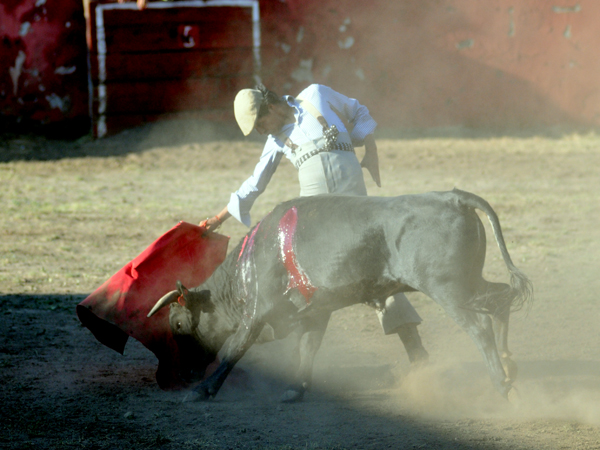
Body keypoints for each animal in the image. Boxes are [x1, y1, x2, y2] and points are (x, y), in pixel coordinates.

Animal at [148, 190, 532, 404]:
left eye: (178, 324)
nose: (183, 375)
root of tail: (454, 196)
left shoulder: (257, 312)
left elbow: (234, 349)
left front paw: (201, 391)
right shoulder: (315, 313)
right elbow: (308, 347)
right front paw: (296, 389)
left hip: (448, 288)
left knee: (480, 324)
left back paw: (502, 384)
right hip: (469, 282)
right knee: (500, 299)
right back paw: (511, 365)